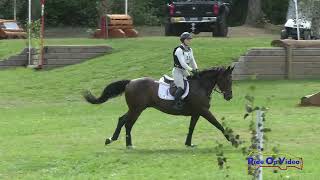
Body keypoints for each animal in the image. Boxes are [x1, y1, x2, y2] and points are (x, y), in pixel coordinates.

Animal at [84, 65, 235, 148]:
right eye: (227, 79)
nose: (229, 97)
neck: (201, 86)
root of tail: (130, 82)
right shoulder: (204, 111)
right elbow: (219, 125)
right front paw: (233, 141)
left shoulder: (197, 113)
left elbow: (191, 128)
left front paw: (188, 143)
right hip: (137, 109)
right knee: (128, 123)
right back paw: (127, 144)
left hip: (135, 109)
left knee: (122, 120)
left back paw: (113, 140)